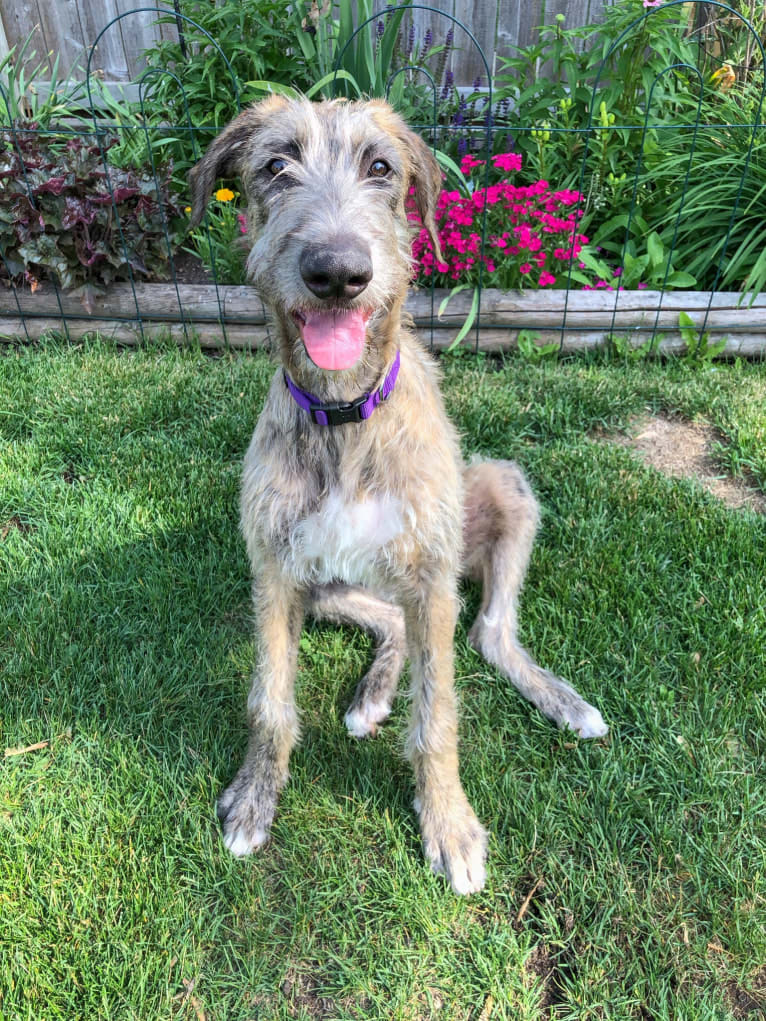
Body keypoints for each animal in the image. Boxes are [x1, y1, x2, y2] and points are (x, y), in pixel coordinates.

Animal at [188, 97, 608, 894]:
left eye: (380, 166)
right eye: (275, 165)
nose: (337, 272)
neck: (347, 415)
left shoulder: (431, 574)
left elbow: (437, 715)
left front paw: (448, 823)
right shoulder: (275, 571)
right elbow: (270, 701)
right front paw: (255, 794)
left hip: (500, 490)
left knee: (486, 630)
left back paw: (563, 701)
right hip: (329, 581)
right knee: (391, 622)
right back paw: (374, 694)